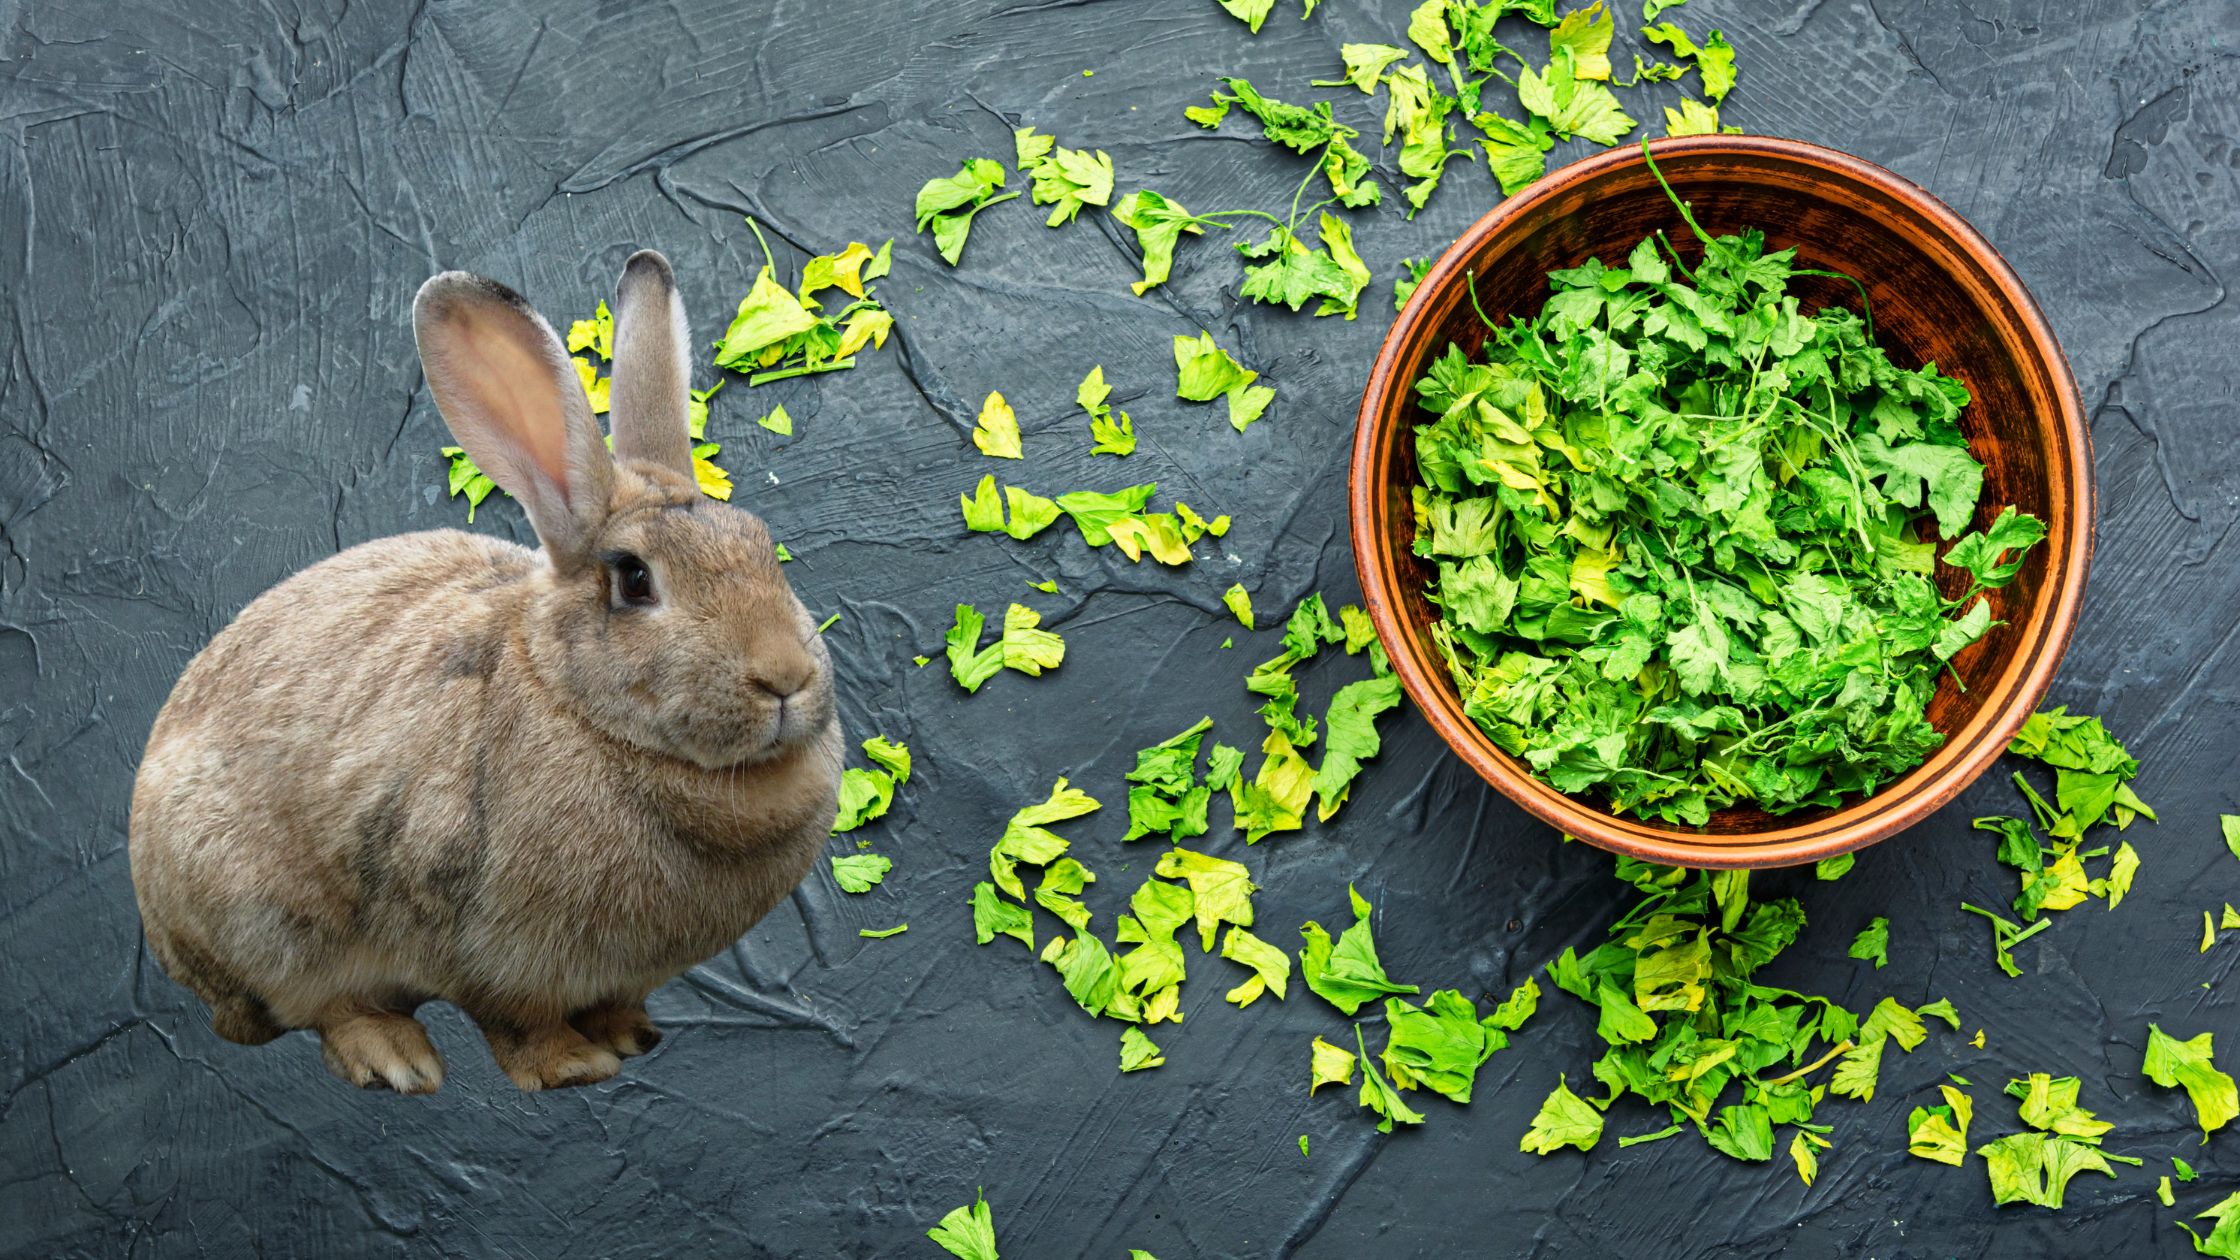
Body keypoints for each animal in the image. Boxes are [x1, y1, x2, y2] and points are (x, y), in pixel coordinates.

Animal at [133, 247, 846, 1089]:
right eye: (635, 580)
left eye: (764, 545)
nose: (785, 678)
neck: (576, 704)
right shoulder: (480, 941)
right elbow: (514, 1021)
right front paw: (573, 1067)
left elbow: (614, 1003)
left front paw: (631, 1036)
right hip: (269, 926)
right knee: (326, 1006)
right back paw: (398, 1061)